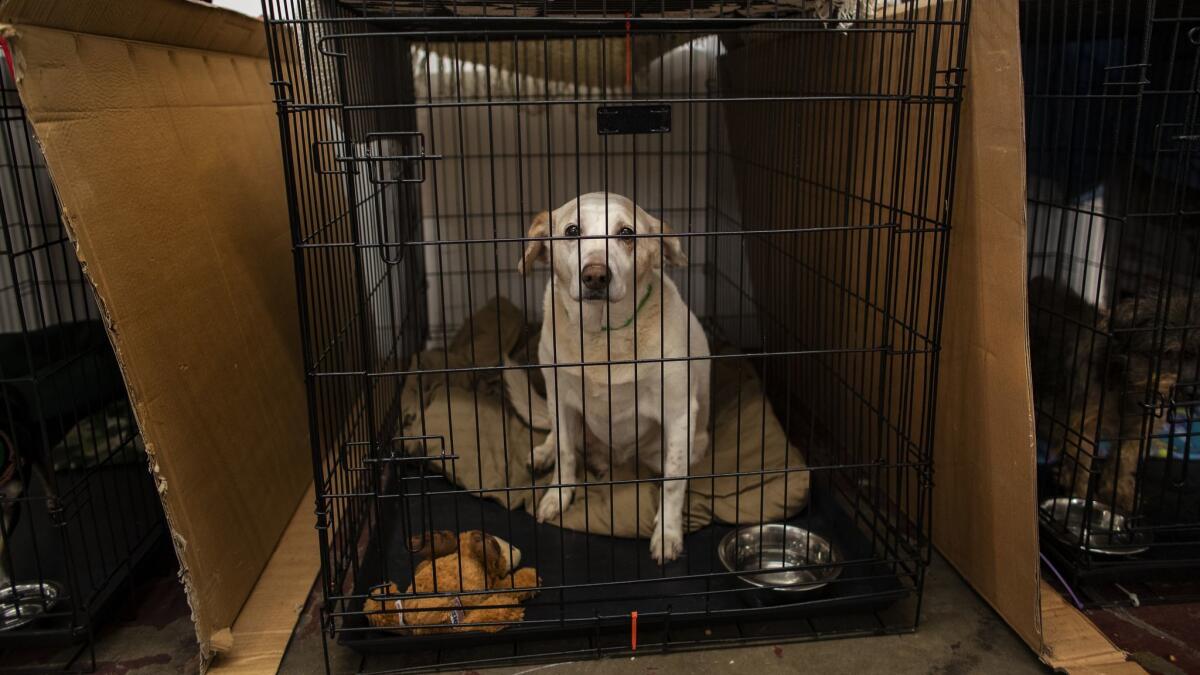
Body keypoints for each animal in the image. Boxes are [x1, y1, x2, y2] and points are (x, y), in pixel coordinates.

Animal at [501, 192, 705, 559]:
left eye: (627, 233)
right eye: (571, 231)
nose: (595, 276)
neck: (603, 336)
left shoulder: (679, 412)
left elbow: (673, 481)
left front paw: (667, 533)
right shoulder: (561, 399)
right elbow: (566, 453)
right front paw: (557, 495)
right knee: (560, 439)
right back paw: (546, 454)